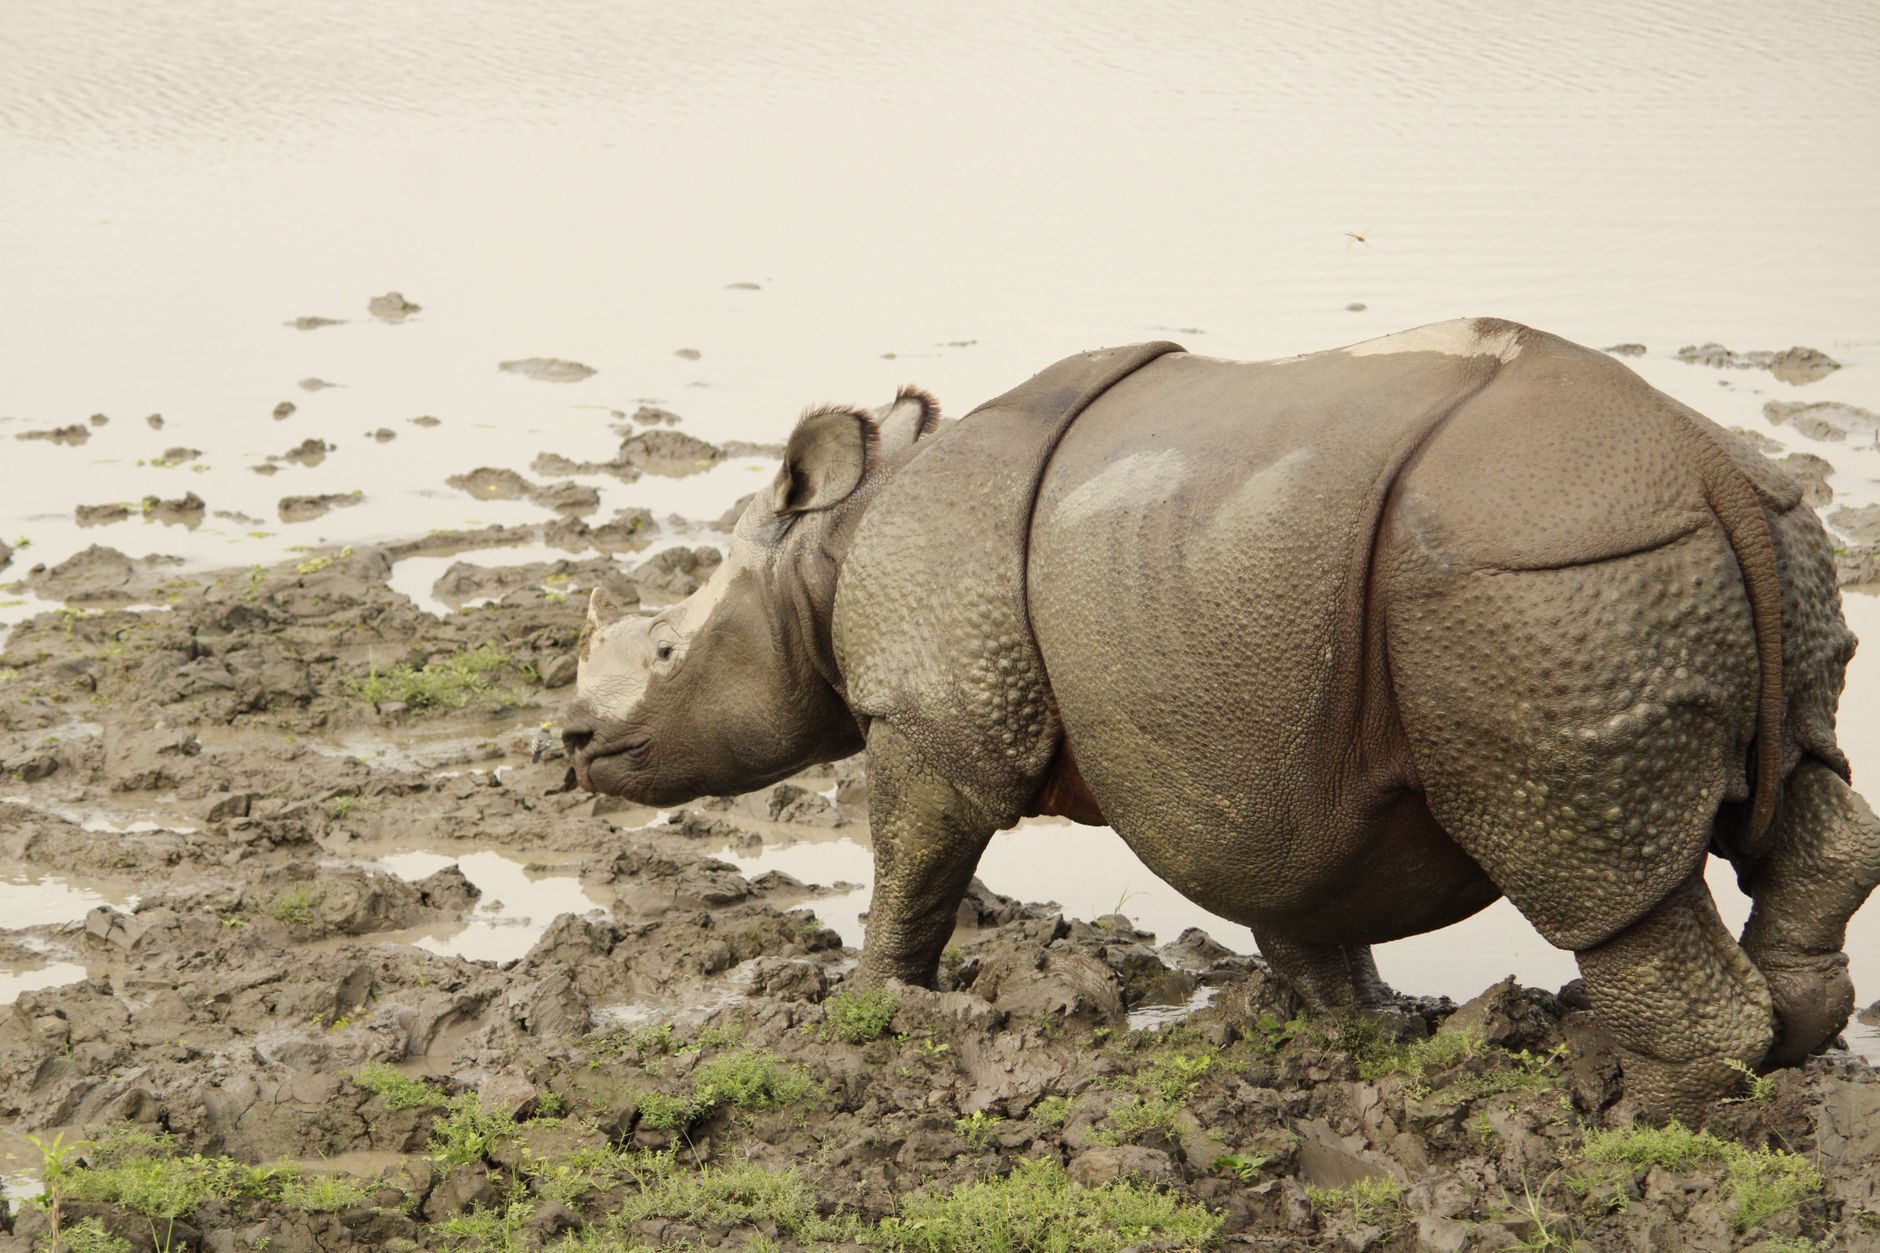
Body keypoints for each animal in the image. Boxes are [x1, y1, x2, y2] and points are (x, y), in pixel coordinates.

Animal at [563, 318, 1880, 1123]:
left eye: (667, 651)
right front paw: (1343, 1027)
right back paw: (1787, 1045)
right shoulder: (1252, 742)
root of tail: (1705, 468)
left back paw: (1626, 1114)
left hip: (1543, 585)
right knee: (1805, 792)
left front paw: (872, 1005)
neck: (833, 549)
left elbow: (914, 856)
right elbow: (1294, 889)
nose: (571, 745)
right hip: (1734, 543)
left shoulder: (937, 711)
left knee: (1585, 860)